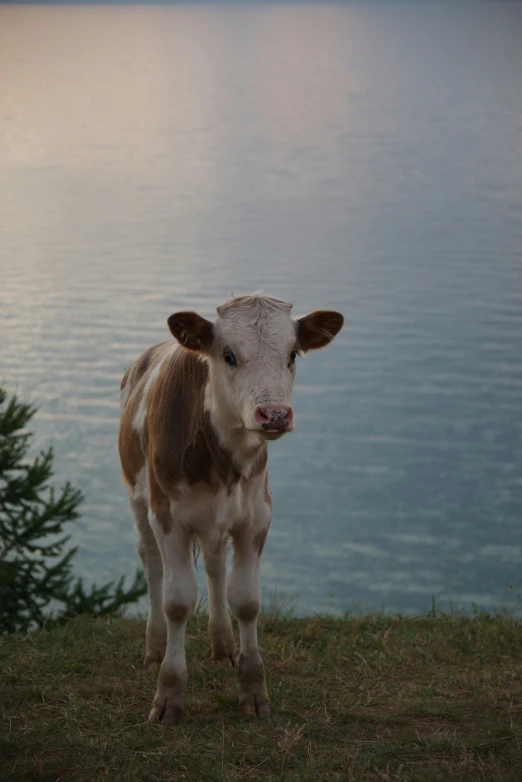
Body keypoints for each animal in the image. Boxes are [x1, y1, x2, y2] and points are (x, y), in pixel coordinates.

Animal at [117, 296, 342, 728]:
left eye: (292, 353)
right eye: (228, 355)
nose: (274, 415)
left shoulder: (256, 517)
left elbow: (246, 600)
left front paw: (253, 689)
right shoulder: (168, 518)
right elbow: (177, 601)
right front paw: (168, 694)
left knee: (215, 567)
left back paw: (222, 645)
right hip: (139, 501)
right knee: (151, 563)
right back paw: (155, 646)